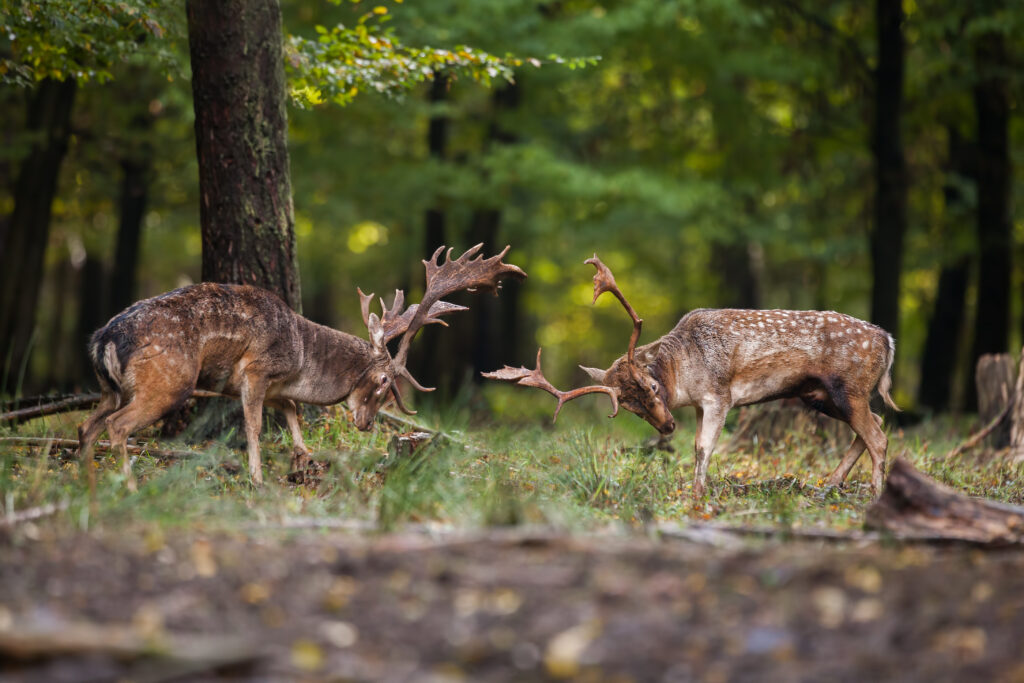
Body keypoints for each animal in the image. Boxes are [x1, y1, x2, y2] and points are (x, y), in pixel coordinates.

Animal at [79, 242, 524, 489]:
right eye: (383, 381)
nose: (367, 424)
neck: (300, 359)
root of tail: (103, 338)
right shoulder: (255, 371)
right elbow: (254, 427)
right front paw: (258, 480)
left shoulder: (275, 386)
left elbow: (292, 410)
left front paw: (304, 460)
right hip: (169, 380)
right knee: (117, 426)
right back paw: (130, 487)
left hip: (107, 388)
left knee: (87, 426)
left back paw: (85, 482)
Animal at [487, 253, 897, 499]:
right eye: (630, 408)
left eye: (653, 385)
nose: (667, 426)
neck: (686, 375)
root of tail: (887, 340)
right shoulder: (701, 404)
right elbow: (697, 445)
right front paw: (695, 489)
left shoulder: (720, 396)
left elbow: (704, 446)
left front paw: (698, 494)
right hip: (820, 394)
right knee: (875, 424)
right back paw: (829, 484)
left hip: (850, 386)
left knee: (878, 435)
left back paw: (875, 493)